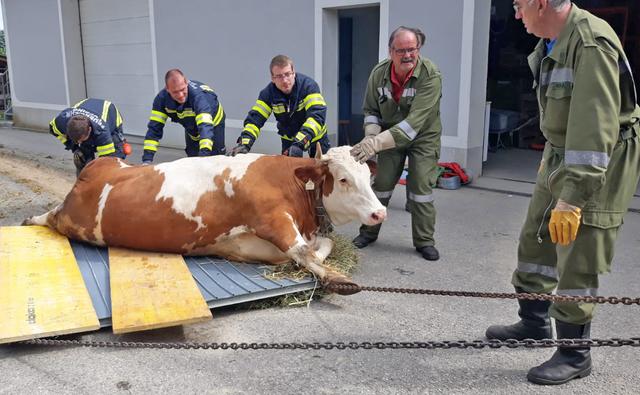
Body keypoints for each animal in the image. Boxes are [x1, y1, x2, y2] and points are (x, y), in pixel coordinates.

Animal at [23, 146, 384, 294]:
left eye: (367, 175)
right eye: (343, 180)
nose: (379, 212)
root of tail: (95, 165)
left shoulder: (248, 242)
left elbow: (320, 245)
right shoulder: (273, 219)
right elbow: (304, 250)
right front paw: (337, 278)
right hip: (73, 220)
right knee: (51, 217)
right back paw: (32, 219)